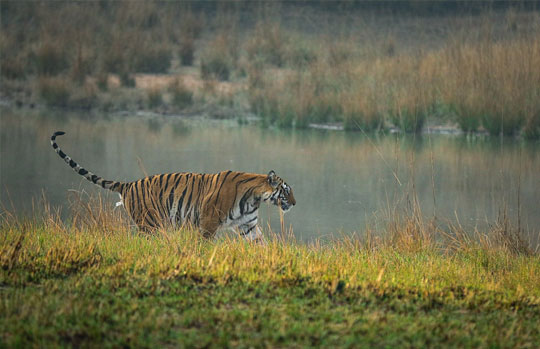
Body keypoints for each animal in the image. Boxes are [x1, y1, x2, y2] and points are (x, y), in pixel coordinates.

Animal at [50, 130, 296, 242]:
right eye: (286, 190)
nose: (294, 203)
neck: (256, 198)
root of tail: (128, 184)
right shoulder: (208, 220)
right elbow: (204, 243)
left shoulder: (248, 225)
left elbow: (261, 244)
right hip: (149, 223)